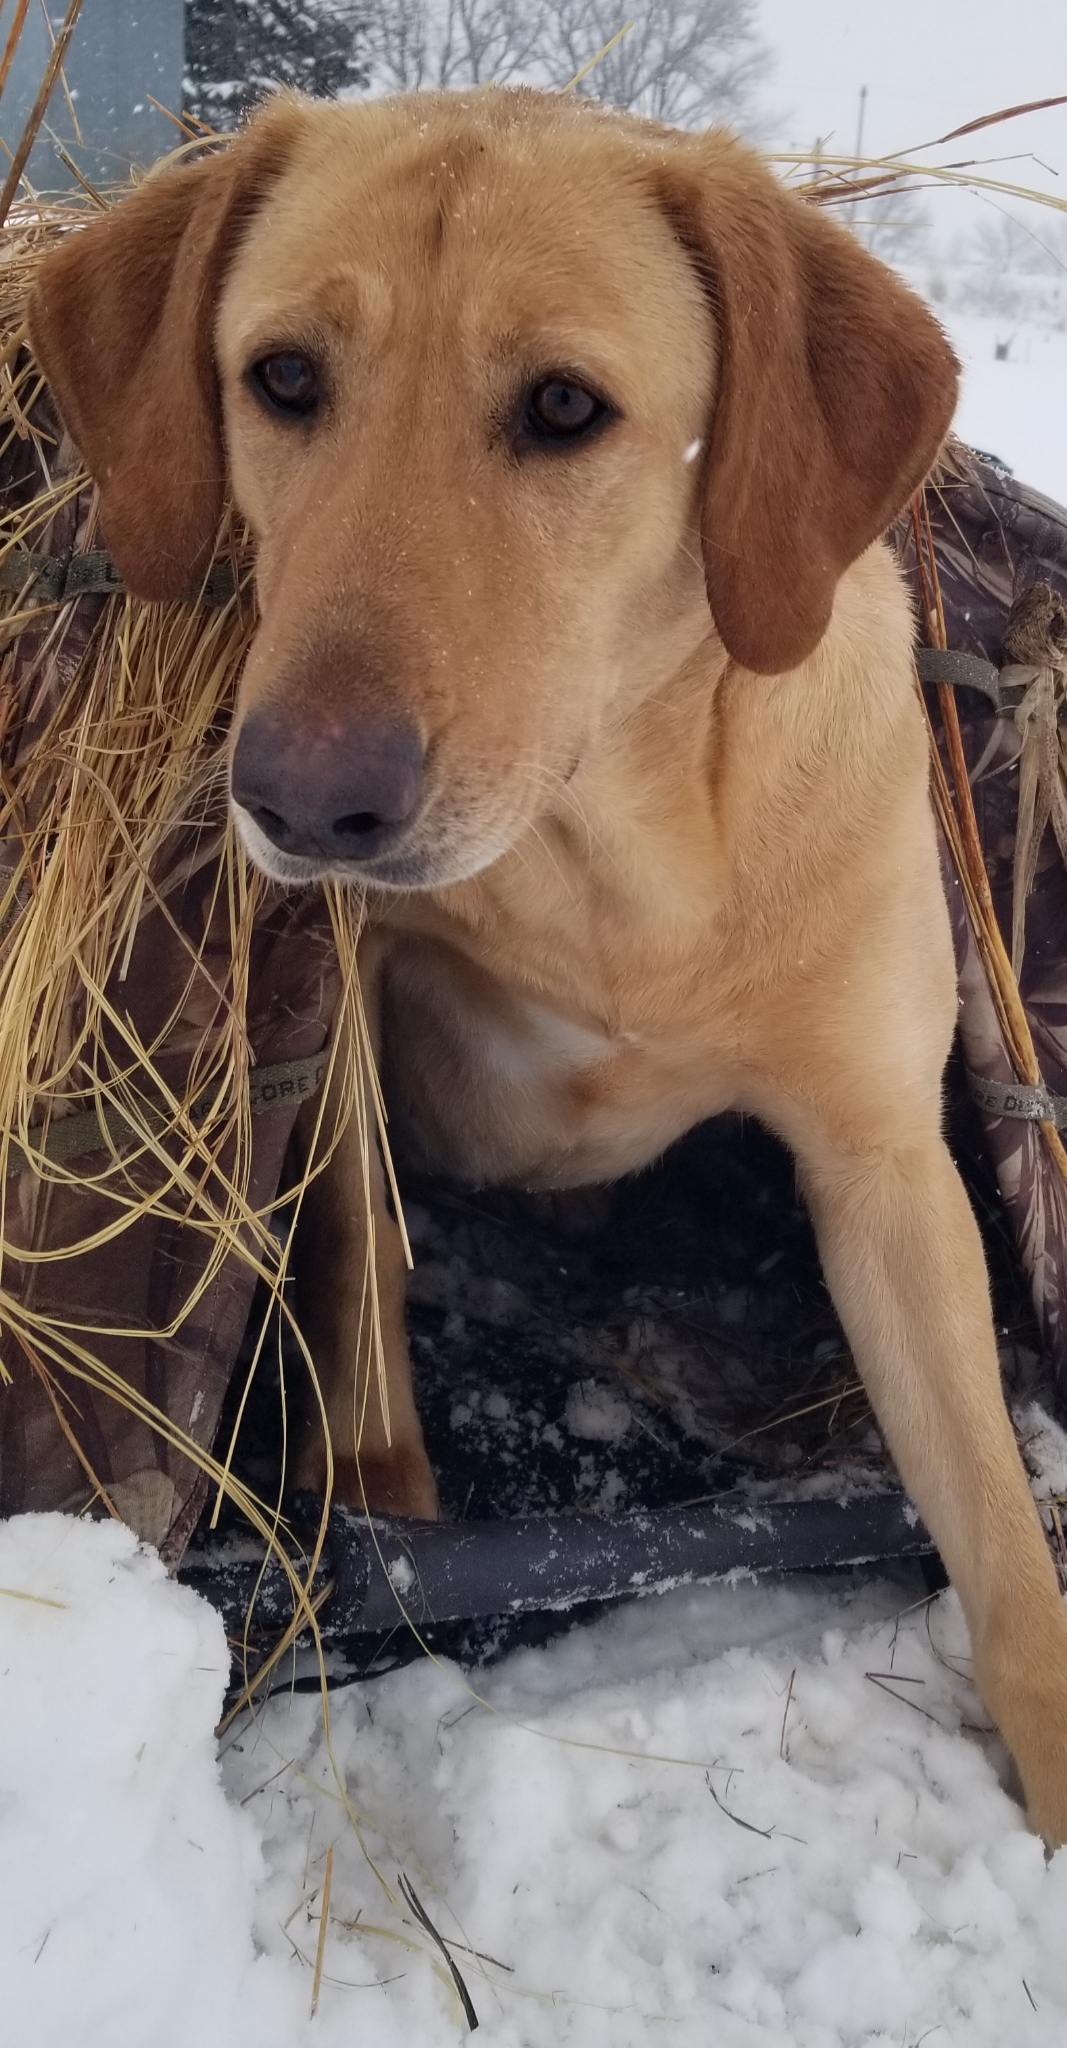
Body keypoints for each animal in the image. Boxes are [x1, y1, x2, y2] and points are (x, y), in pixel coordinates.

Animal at [28, 87, 1067, 1844]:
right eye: (282, 378)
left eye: (566, 408)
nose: (301, 801)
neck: (611, 856)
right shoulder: (344, 1033)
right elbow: (363, 1275)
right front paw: (384, 1509)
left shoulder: (884, 1166)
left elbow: (994, 1518)